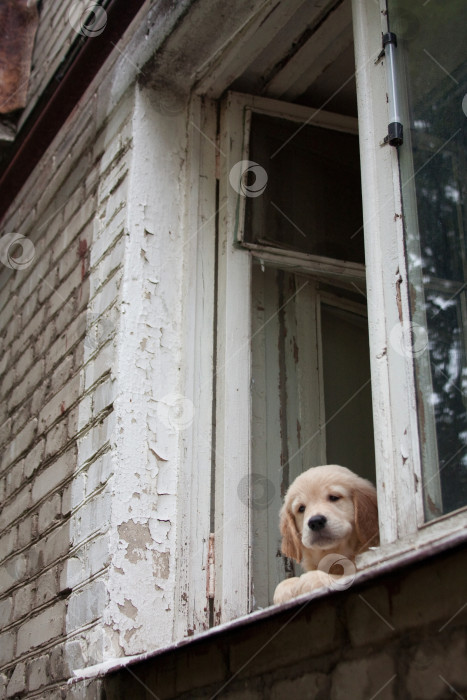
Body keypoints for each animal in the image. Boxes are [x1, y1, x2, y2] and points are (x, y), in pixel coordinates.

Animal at [274, 462, 380, 604]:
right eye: (301, 508)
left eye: (334, 497)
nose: (315, 521)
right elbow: (281, 586)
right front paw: (286, 587)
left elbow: (346, 574)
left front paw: (311, 579)